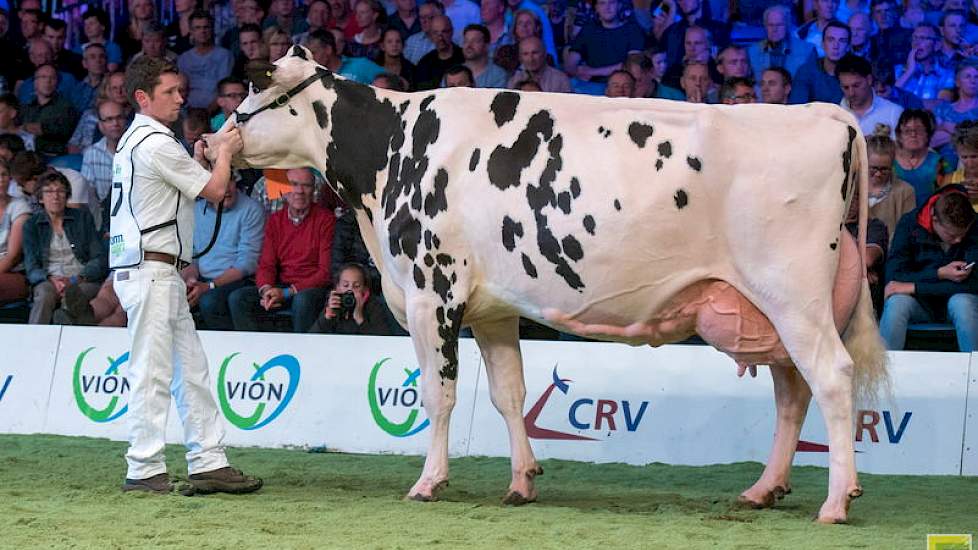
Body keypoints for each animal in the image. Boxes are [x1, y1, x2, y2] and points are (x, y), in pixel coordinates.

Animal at [212, 45, 884, 524]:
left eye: (249, 96)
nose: (208, 137)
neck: (389, 156)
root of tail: (821, 112)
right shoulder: (492, 310)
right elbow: (509, 394)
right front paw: (521, 483)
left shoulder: (433, 294)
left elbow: (439, 395)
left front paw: (428, 482)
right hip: (770, 308)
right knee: (792, 392)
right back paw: (763, 489)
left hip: (792, 293)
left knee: (831, 377)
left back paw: (837, 501)